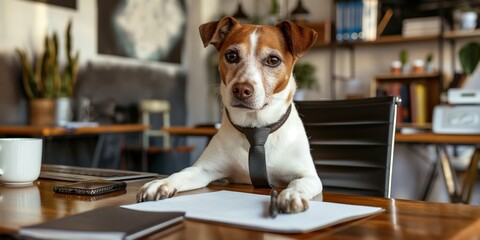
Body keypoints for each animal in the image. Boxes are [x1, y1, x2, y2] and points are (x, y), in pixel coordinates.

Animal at [135, 15, 322, 213]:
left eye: (273, 60)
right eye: (231, 55)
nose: (241, 90)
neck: (255, 128)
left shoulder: (308, 176)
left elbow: (298, 183)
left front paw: (292, 194)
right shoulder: (203, 170)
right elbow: (181, 173)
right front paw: (161, 183)